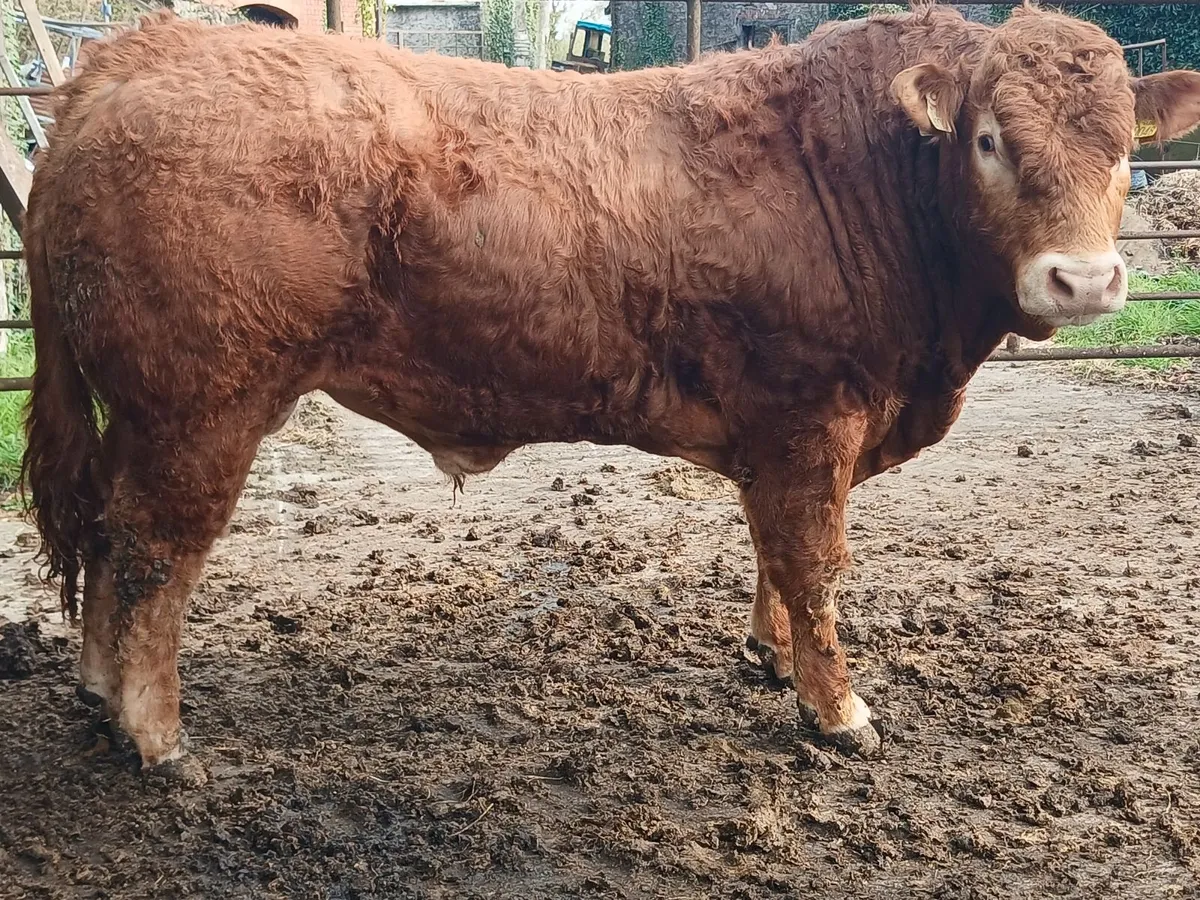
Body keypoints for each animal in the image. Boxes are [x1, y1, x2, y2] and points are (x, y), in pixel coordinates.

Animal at [21, 3, 1200, 774]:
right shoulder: (810, 416)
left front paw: (771, 660)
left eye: (1120, 153)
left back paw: (99, 695)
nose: (1085, 279)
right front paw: (839, 712)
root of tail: (130, 60)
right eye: (992, 140)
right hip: (201, 407)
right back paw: (157, 738)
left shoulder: (791, 436)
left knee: (109, 541)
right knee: (154, 554)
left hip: (144, 414)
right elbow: (815, 565)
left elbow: (779, 560)